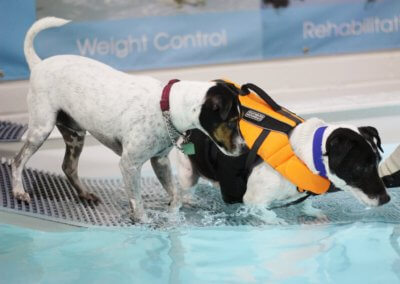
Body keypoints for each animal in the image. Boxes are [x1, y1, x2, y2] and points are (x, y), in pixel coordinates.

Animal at [11, 17, 244, 222]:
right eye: (232, 120)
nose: (244, 148)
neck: (167, 105)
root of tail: (38, 64)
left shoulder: (160, 161)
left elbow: (176, 196)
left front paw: (172, 212)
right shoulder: (129, 165)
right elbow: (137, 203)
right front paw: (143, 221)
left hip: (75, 135)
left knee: (68, 167)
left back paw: (84, 194)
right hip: (41, 129)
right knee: (17, 161)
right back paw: (18, 192)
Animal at [177, 116, 390, 223]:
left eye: (379, 161)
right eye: (361, 167)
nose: (386, 199)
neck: (303, 155)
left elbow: (306, 204)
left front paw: (312, 212)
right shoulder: (253, 201)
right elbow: (269, 214)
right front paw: (277, 222)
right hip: (186, 172)